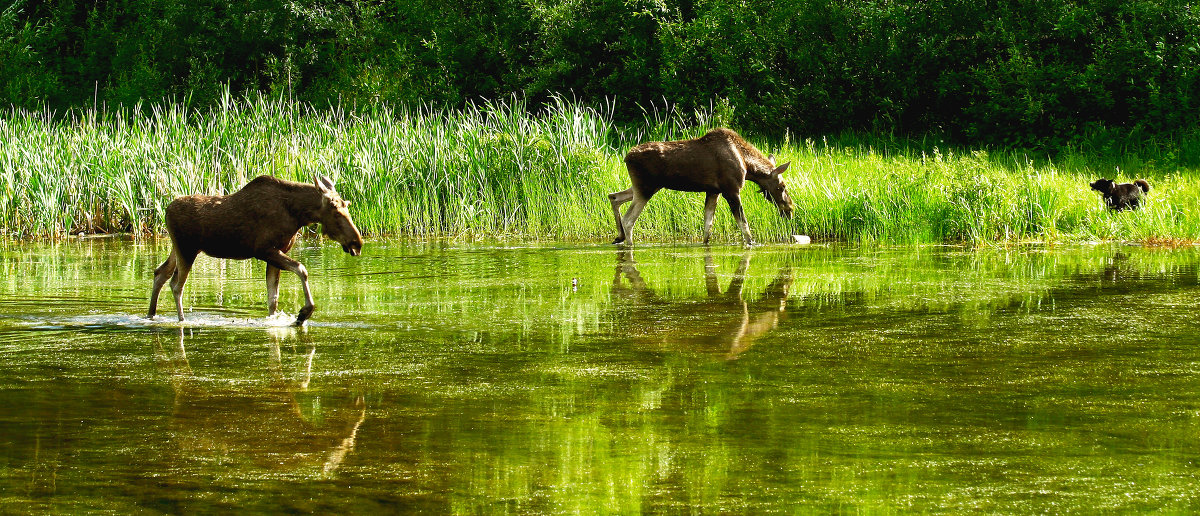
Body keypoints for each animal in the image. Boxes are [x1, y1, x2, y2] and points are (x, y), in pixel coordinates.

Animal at [147, 175, 360, 324]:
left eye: (347, 205)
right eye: (335, 210)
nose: (357, 243)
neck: (298, 215)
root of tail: (166, 210)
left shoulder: (276, 252)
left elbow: (273, 298)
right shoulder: (264, 250)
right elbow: (301, 269)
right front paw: (304, 312)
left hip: (179, 248)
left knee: (160, 273)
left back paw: (151, 314)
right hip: (187, 249)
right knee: (176, 284)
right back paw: (181, 320)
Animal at [609, 126, 796, 244]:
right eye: (782, 186)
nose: (790, 208)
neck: (748, 165)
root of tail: (626, 157)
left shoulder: (713, 191)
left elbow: (708, 225)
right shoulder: (731, 190)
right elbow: (744, 224)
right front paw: (752, 243)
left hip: (645, 186)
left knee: (614, 196)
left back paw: (619, 236)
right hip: (646, 187)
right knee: (628, 219)